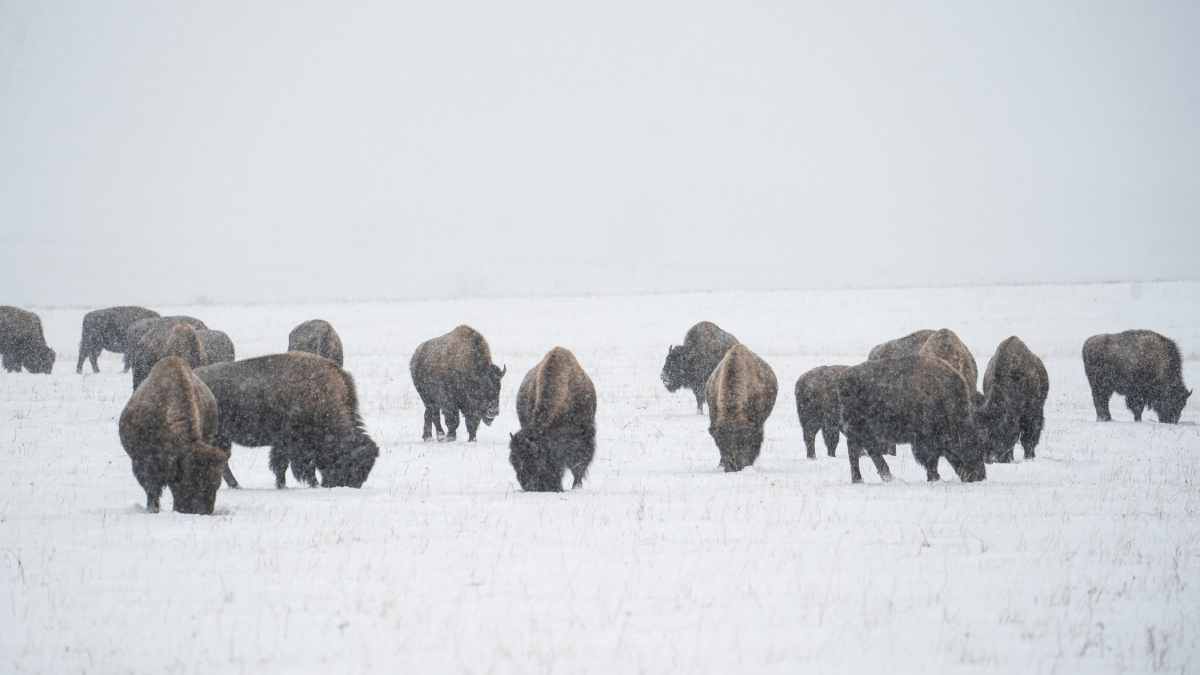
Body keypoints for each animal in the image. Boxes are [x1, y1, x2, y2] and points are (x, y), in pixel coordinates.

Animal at [119, 356, 229, 514]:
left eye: (216, 484)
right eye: (188, 481)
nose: (201, 512)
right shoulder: (143, 462)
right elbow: (151, 488)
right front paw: (153, 509)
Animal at [195, 353, 379, 489]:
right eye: (352, 462)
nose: (352, 485)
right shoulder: (291, 443)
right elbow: (290, 464)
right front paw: (293, 484)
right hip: (219, 437)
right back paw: (235, 485)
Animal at [837, 355, 994, 484]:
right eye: (972, 446)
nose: (979, 476)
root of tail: (844, 378)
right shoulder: (925, 439)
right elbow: (931, 459)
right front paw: (934, 478)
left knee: (864, 450)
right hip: (860, 429)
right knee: (862, 451)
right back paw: (870, 478)